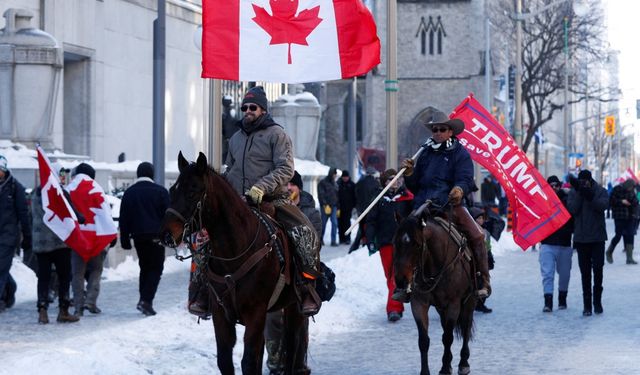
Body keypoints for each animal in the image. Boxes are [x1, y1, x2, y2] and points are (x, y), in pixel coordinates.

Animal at [161, 153, 308, 375]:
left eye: (192, 192)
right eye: (172, 190)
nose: (165, 235)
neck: (236, 250)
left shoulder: (255, 312)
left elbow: (248, 361)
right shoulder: (220, 313)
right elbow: (225, 360)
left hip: (293, 306)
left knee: (292, 345)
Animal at [392, 204, 478, 375]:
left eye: (417, 244)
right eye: (395, 243)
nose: (401, 280)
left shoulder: (453, 304)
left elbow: (448, 338)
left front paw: (445, 368)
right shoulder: (419, 304)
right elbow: (424, 340)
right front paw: (426, 371)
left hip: (469, 301)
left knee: (465, 327)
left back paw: (463, 362)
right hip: (440, 308)